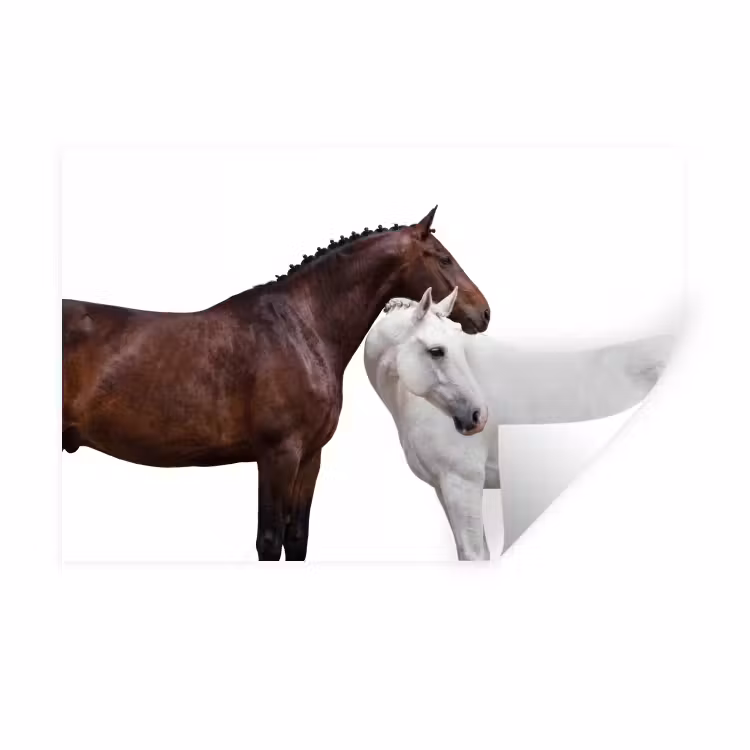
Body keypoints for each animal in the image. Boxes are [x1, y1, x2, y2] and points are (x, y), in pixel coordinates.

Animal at [62, 206, 491, 561]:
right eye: (444, 258)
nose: (484, 312)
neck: (301, 328)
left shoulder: (310, 457)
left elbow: (296, 538)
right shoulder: (277, 455)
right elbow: (269, 541)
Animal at [364, 291, 674, 561]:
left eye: (451, 349)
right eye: (437, 351)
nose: (477, 415)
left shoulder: (462, 484)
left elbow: (475, 555)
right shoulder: (444, 488)